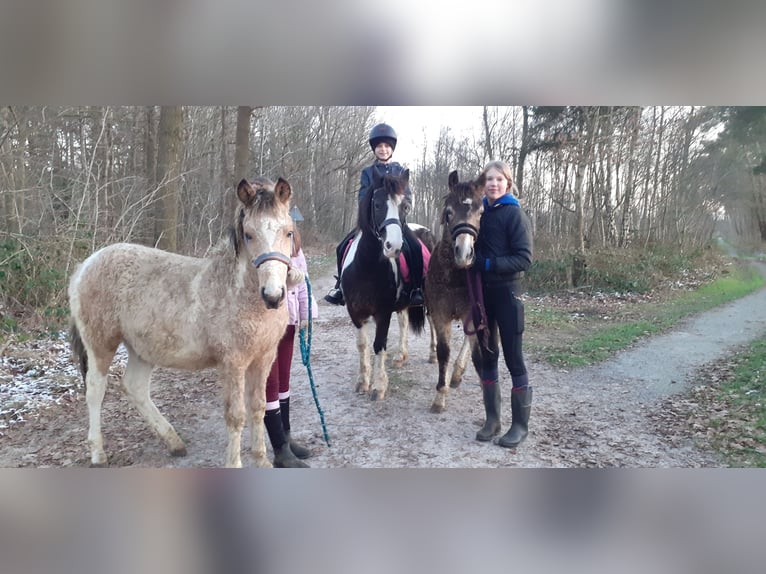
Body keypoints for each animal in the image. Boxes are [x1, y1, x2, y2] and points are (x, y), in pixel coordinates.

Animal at [68, 178, 298, 468]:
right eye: (249, 234)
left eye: (288, 232)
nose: (273, 295)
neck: (237, 292)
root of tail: (85, 265)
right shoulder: (232, 363)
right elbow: (236, 416)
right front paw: (234, 464)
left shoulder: (263, 358)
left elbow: (258, 408)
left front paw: (262, 461)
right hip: (100, 345)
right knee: (95, 390)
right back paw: (98, 454)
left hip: (143, 349)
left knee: (135, 387)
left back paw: (174, 442)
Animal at [341, 167, 426, 400]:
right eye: (378, 204)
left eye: (405, 206)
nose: (393, 246)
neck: (367, 267)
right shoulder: (355, 311)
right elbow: (362, 345)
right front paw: (363, 381)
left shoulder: (383, 312)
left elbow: (379, 345)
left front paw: (379, 387)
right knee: (404, 323)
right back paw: (400, 357)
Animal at [424, 170, 485, 413]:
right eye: (449, 212)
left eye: (480, 212)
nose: (464, 253)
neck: (454, 277)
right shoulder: (440, 314)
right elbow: (444, 351)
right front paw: (440, 396)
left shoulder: (471, 311)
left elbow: (474, 349)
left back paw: (458, 373)